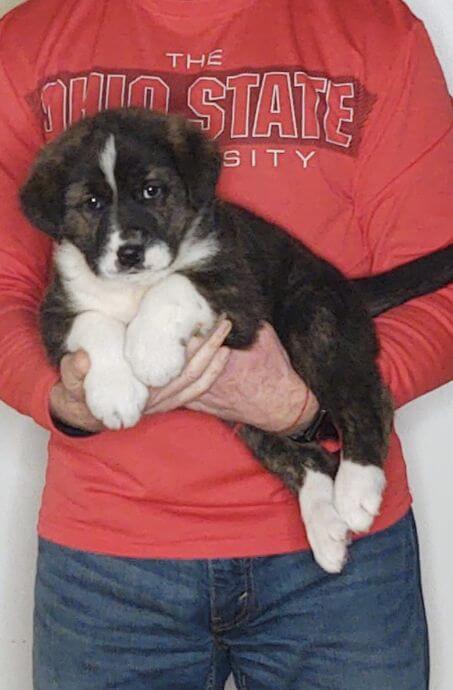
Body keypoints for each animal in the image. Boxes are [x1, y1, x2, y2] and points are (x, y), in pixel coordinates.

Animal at [21, 107, 452, 568]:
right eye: (92, 203)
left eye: (152, 191)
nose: (130, 254)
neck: (133, 286)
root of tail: (349, 287)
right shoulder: (55, 312)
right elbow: (94, 324)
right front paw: (116, 394)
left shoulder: (238, 295)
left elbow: (174, 285)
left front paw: (150, 353)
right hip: (252, 415)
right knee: (309, 456)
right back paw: (326, 529)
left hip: (313, 321)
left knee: (366, 396)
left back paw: (357, 491)